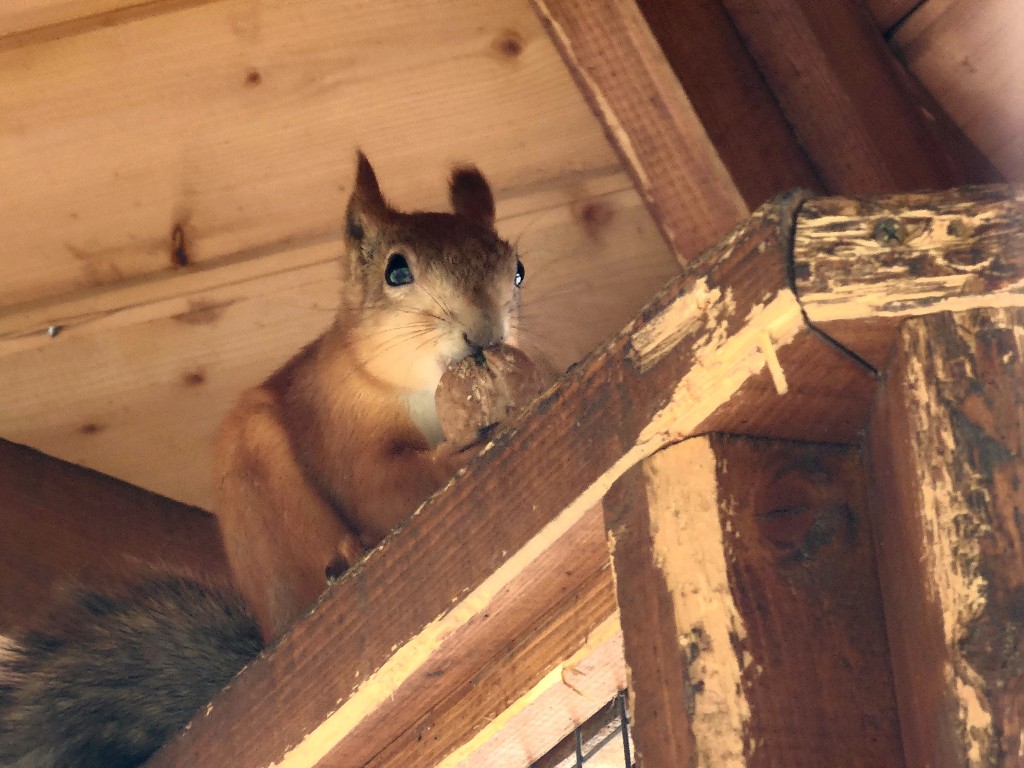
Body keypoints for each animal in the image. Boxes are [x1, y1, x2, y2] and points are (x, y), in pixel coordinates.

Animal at [211, 153, 524, 638]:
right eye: (396, 270)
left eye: (519, 271)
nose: (487, 332)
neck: (423, 388)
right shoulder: (339, 421)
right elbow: (376, 484)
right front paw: (455, 457)